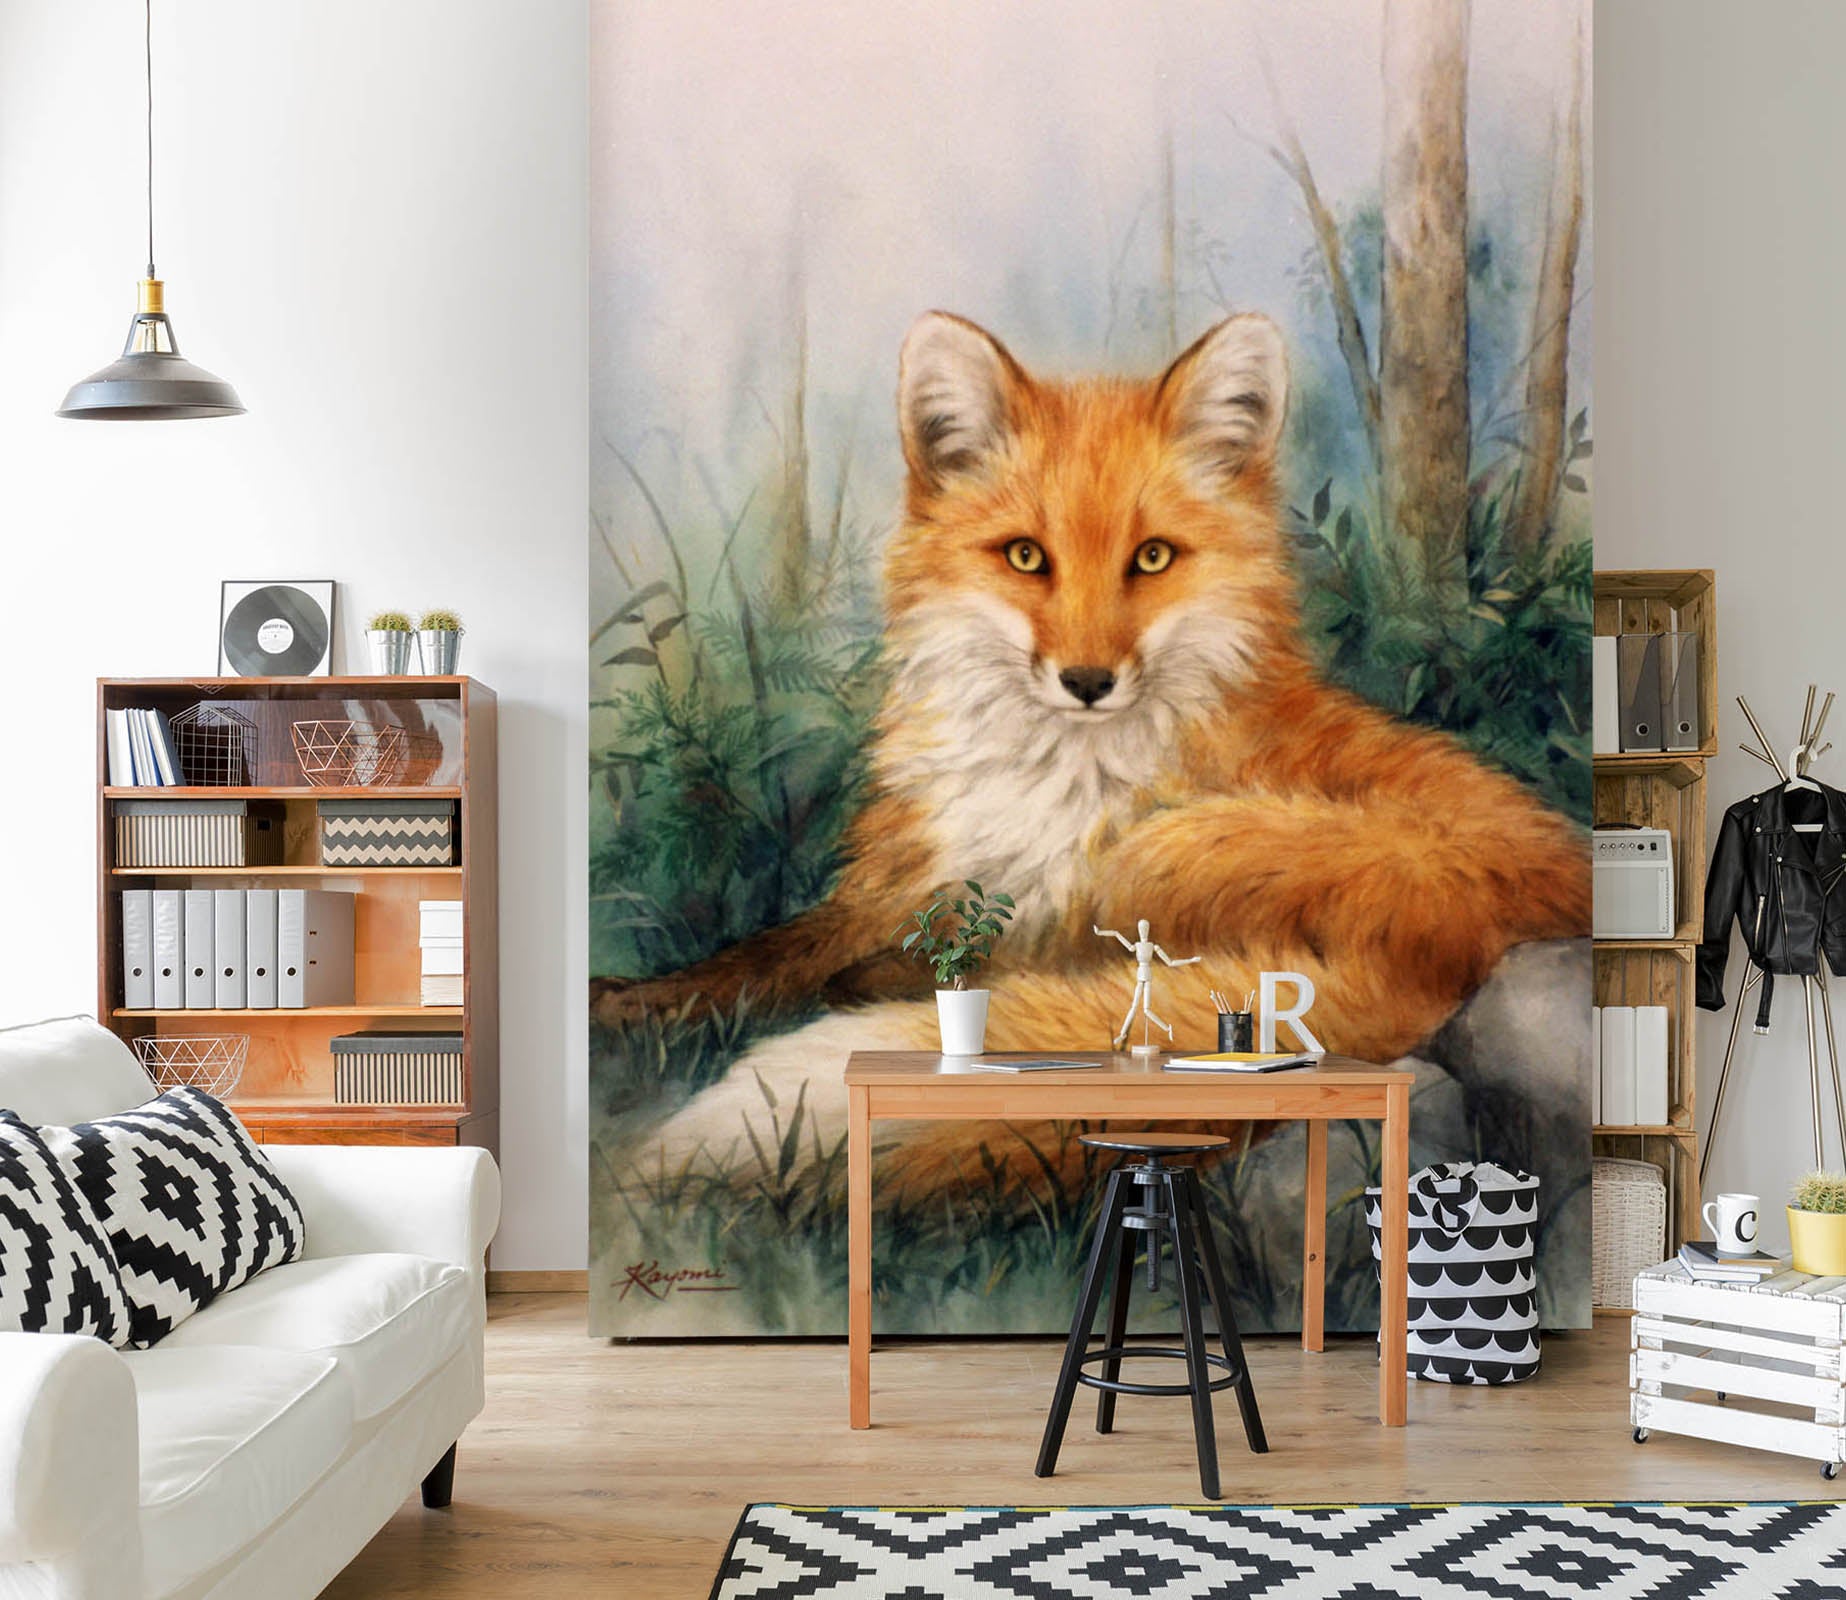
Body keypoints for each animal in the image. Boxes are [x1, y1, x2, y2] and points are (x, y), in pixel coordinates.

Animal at [593, 310, 1591, 1193]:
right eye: (1026, 557)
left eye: (1151, 558)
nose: (1086, 681)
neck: (1046, 782)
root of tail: (1465, 957)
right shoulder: (902, 885)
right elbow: (751, 962)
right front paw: (630, 1004)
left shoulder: (1054, 909)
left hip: (1178, 854)